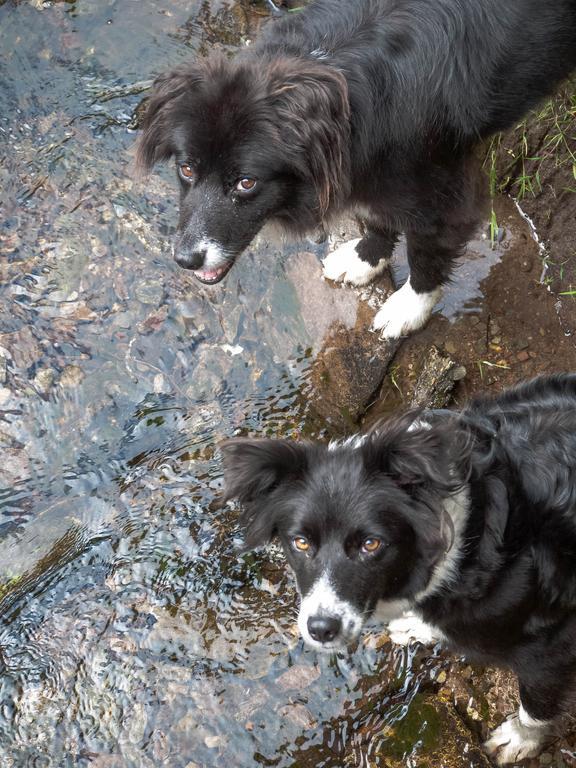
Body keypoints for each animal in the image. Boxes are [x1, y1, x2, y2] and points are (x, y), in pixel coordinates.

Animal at [138, 0, 576, 340]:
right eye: (187, 169)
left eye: (246, 182)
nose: (185, 260)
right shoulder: (367, 172)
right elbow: (377, 218)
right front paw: (364, 260)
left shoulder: (439, 189)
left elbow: (426, 250)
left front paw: (407, 309)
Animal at [222, 376, 576, 764]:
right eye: (300, 543)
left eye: (370, 544)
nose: (321, 630)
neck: (474, 527)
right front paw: (417, 626)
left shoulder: (549, 645)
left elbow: (536, 704)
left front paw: (518, 739)